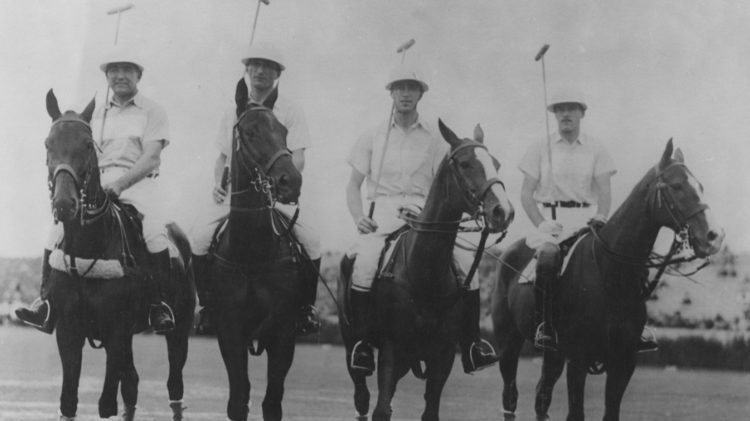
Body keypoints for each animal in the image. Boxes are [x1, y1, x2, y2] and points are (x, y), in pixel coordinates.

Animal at [43, 90, 197, 418]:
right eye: (48, 144)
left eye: (88, 145)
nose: (64, 204)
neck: (88, 245)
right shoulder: (69, 330)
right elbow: (69, 402)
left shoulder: (117, 329)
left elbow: (106, 405)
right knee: (132, 382)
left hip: (179, 327)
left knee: (174, 385)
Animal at [209, 99, 306, 420]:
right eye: (250, 132)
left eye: (284, 131)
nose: (291, 182)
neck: (252, 253)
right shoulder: (229, 329)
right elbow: (239, 400)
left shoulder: (284, 331)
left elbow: (272, 403)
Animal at [340, 119, 516, 420]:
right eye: (465, 163)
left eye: (496, 163)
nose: (503, 212)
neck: (425, 273)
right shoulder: (392, 347)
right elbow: (381, 409)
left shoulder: (442, 353)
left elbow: (430, 411)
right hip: (352, 342)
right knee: (361, 396)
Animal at [494, 139, 728, 418]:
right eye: (677, 186)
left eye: (700, 186)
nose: (714, 237)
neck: (611, 272)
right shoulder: (579, 357)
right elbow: (576, 413)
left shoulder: (623, 361)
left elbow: (611, 411)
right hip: (509, 343)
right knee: (510, 397)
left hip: (554, 354)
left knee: (542, 397)